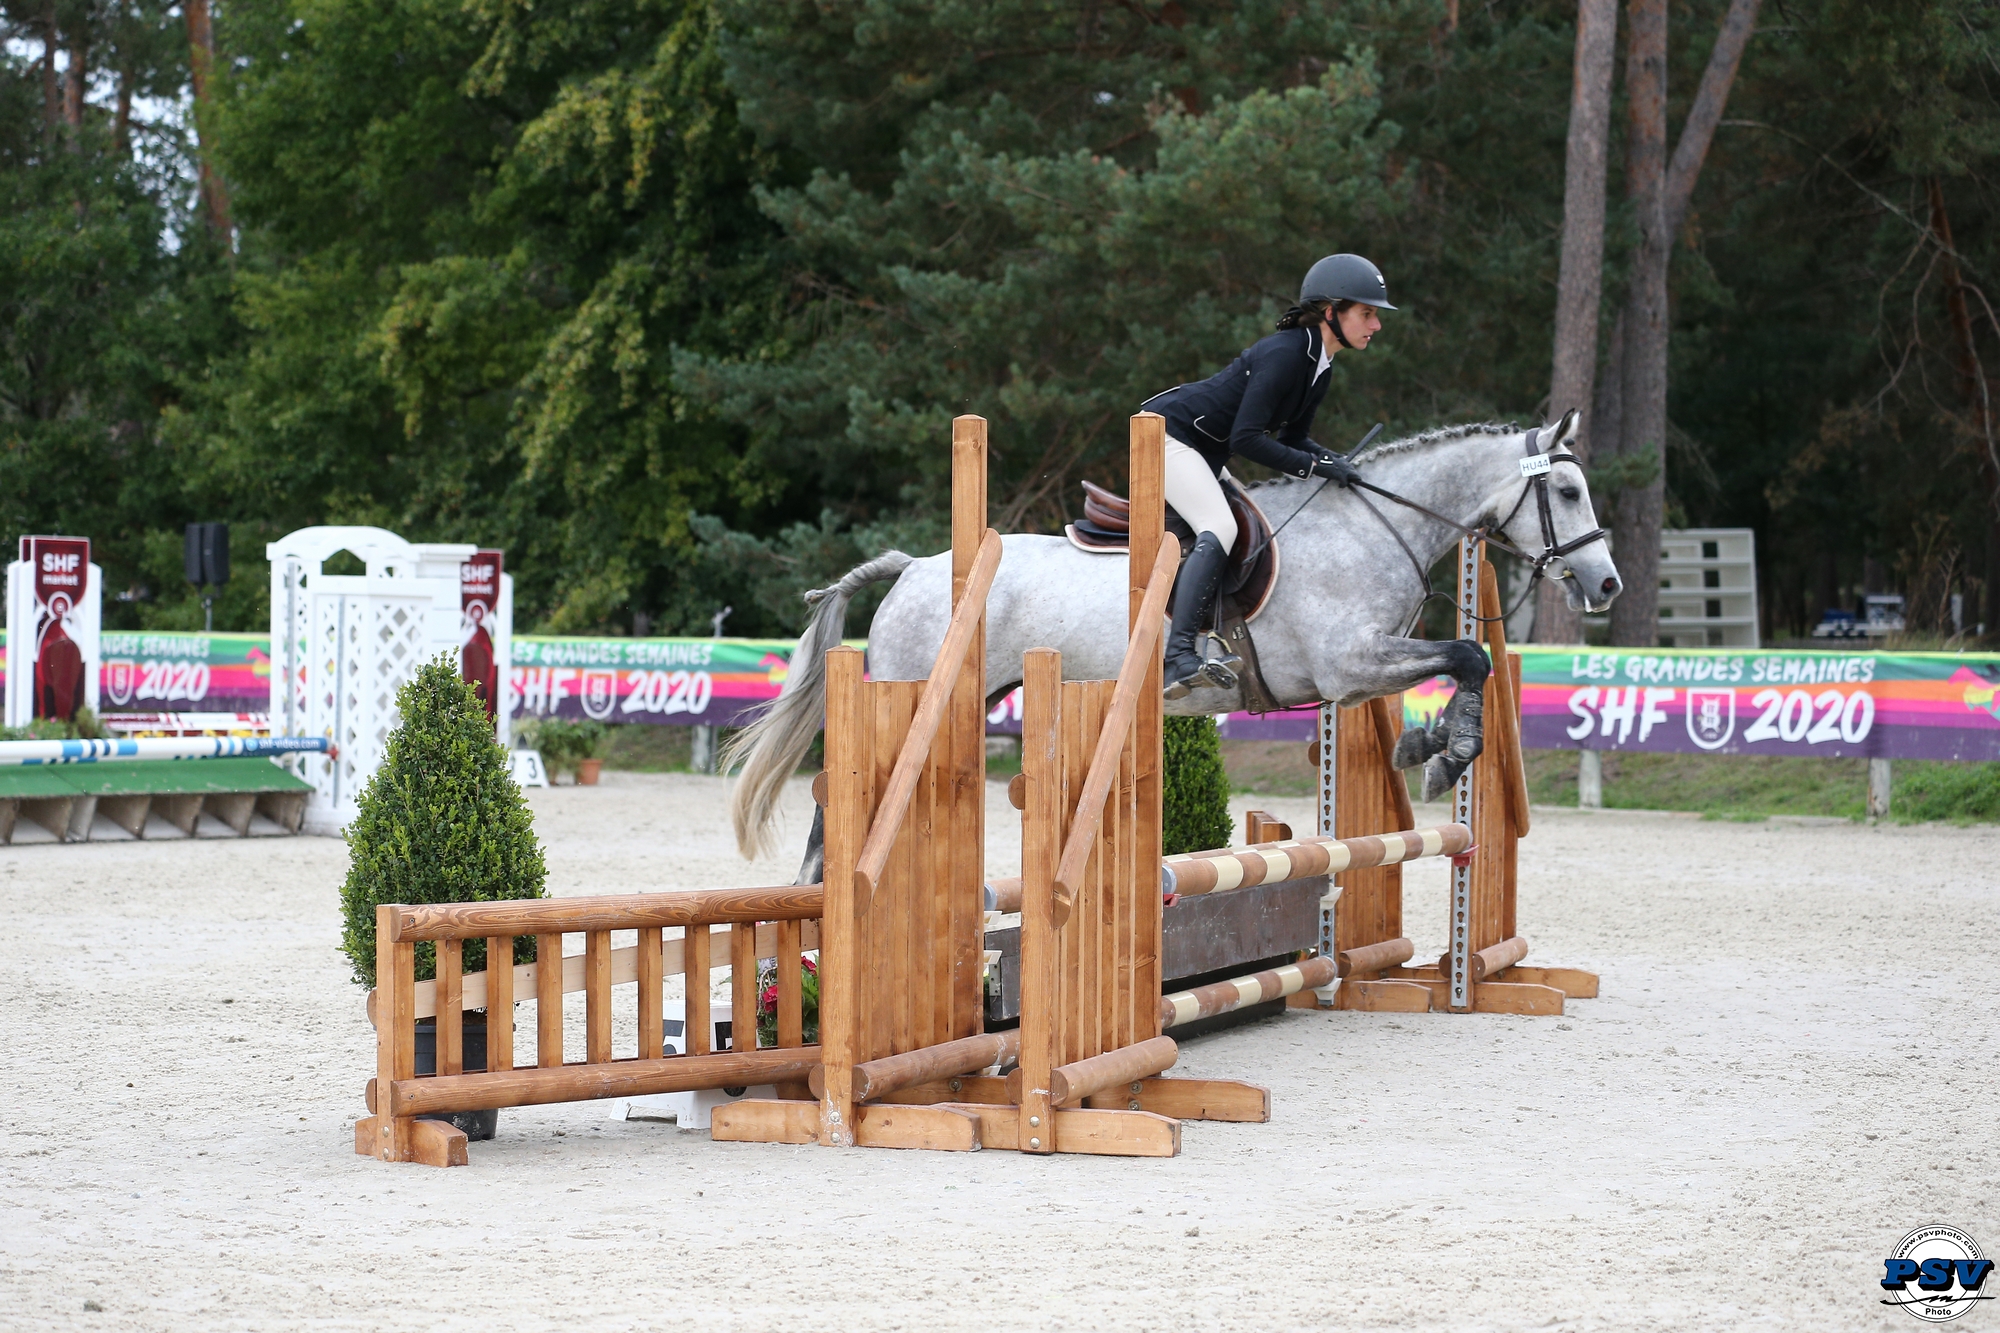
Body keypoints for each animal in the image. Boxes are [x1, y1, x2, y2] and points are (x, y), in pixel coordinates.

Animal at [724, 411, 1622, 871]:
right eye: (1566, 490)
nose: (1607, 583)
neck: (1373, 523)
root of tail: (913, 567)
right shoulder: (1345, 663)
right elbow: (1469, 654)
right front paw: (1446, 753)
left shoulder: (1356, 673)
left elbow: (1462, 666)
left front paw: (1431, 748)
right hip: (916, 696)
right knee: (836, 810)